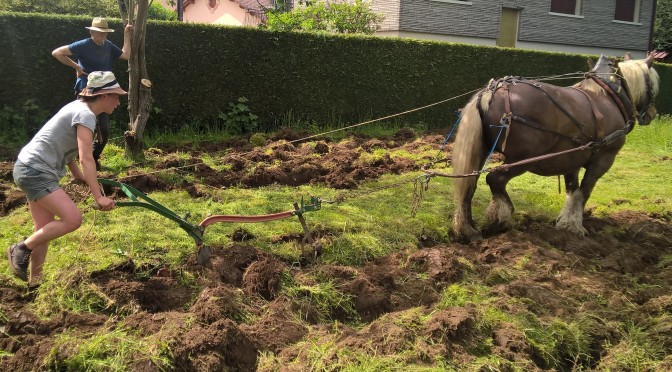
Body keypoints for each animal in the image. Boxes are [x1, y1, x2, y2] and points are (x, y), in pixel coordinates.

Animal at [454, 53, 660, 243]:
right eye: (652, 85)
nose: (652, 114)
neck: (608, 95)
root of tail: (491, 92)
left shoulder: (572, 162)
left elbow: (572, 192)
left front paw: (565, 223)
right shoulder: (602, 160)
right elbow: (584, 192)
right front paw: (575, 226)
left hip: (480, 152)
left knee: (469, 184)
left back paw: (469, 230)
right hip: (522, 159)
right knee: (495, 179)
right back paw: (501, 220)